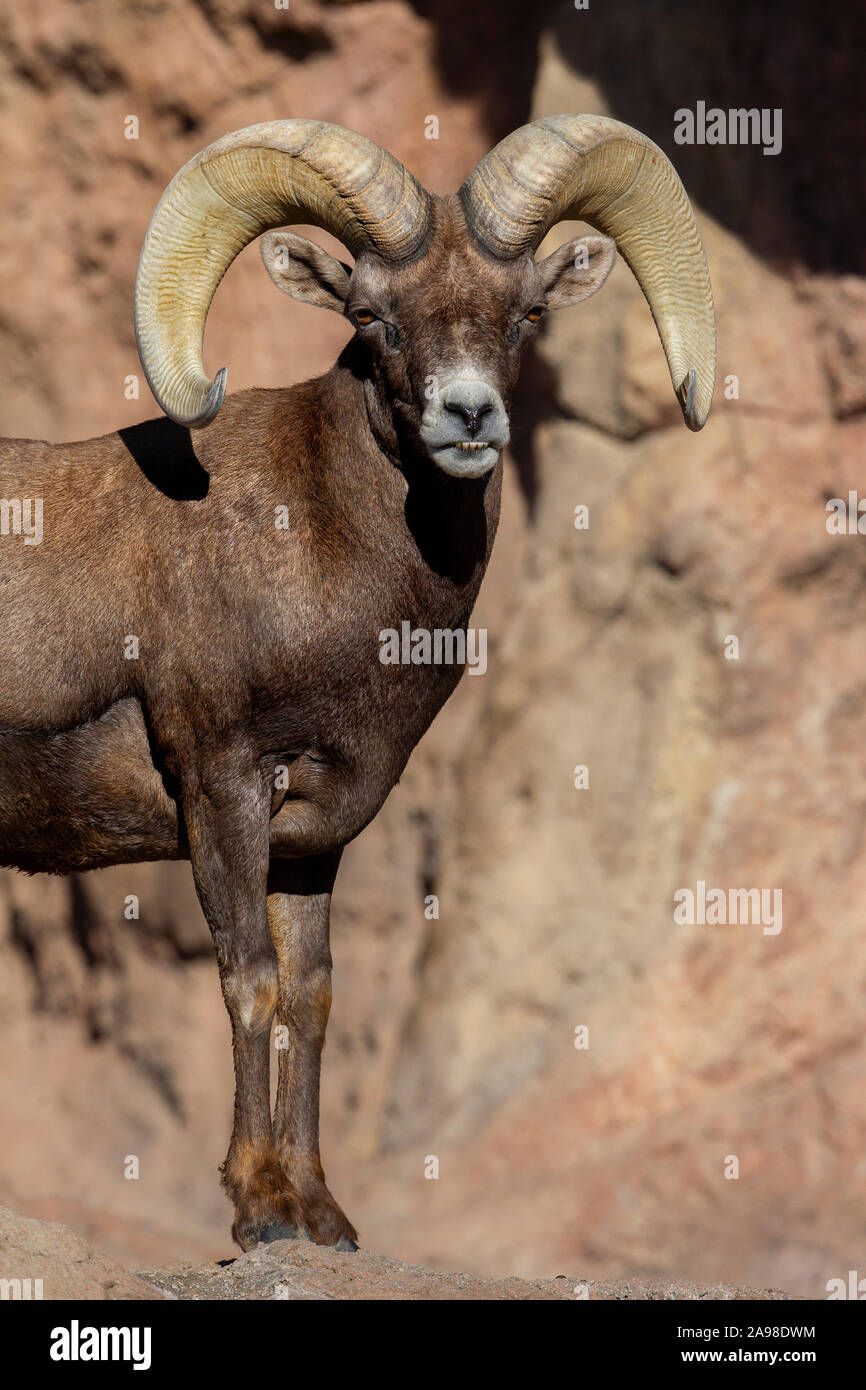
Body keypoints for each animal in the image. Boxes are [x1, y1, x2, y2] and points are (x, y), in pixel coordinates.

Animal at [0, 119, 717, 1251]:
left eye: (525, 312)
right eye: (374, 315)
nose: (467, 415)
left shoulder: (313, 838)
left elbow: (312, 997)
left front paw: (319, 1211)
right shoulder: (223, 790)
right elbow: (250, 980)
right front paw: (257, 1209)